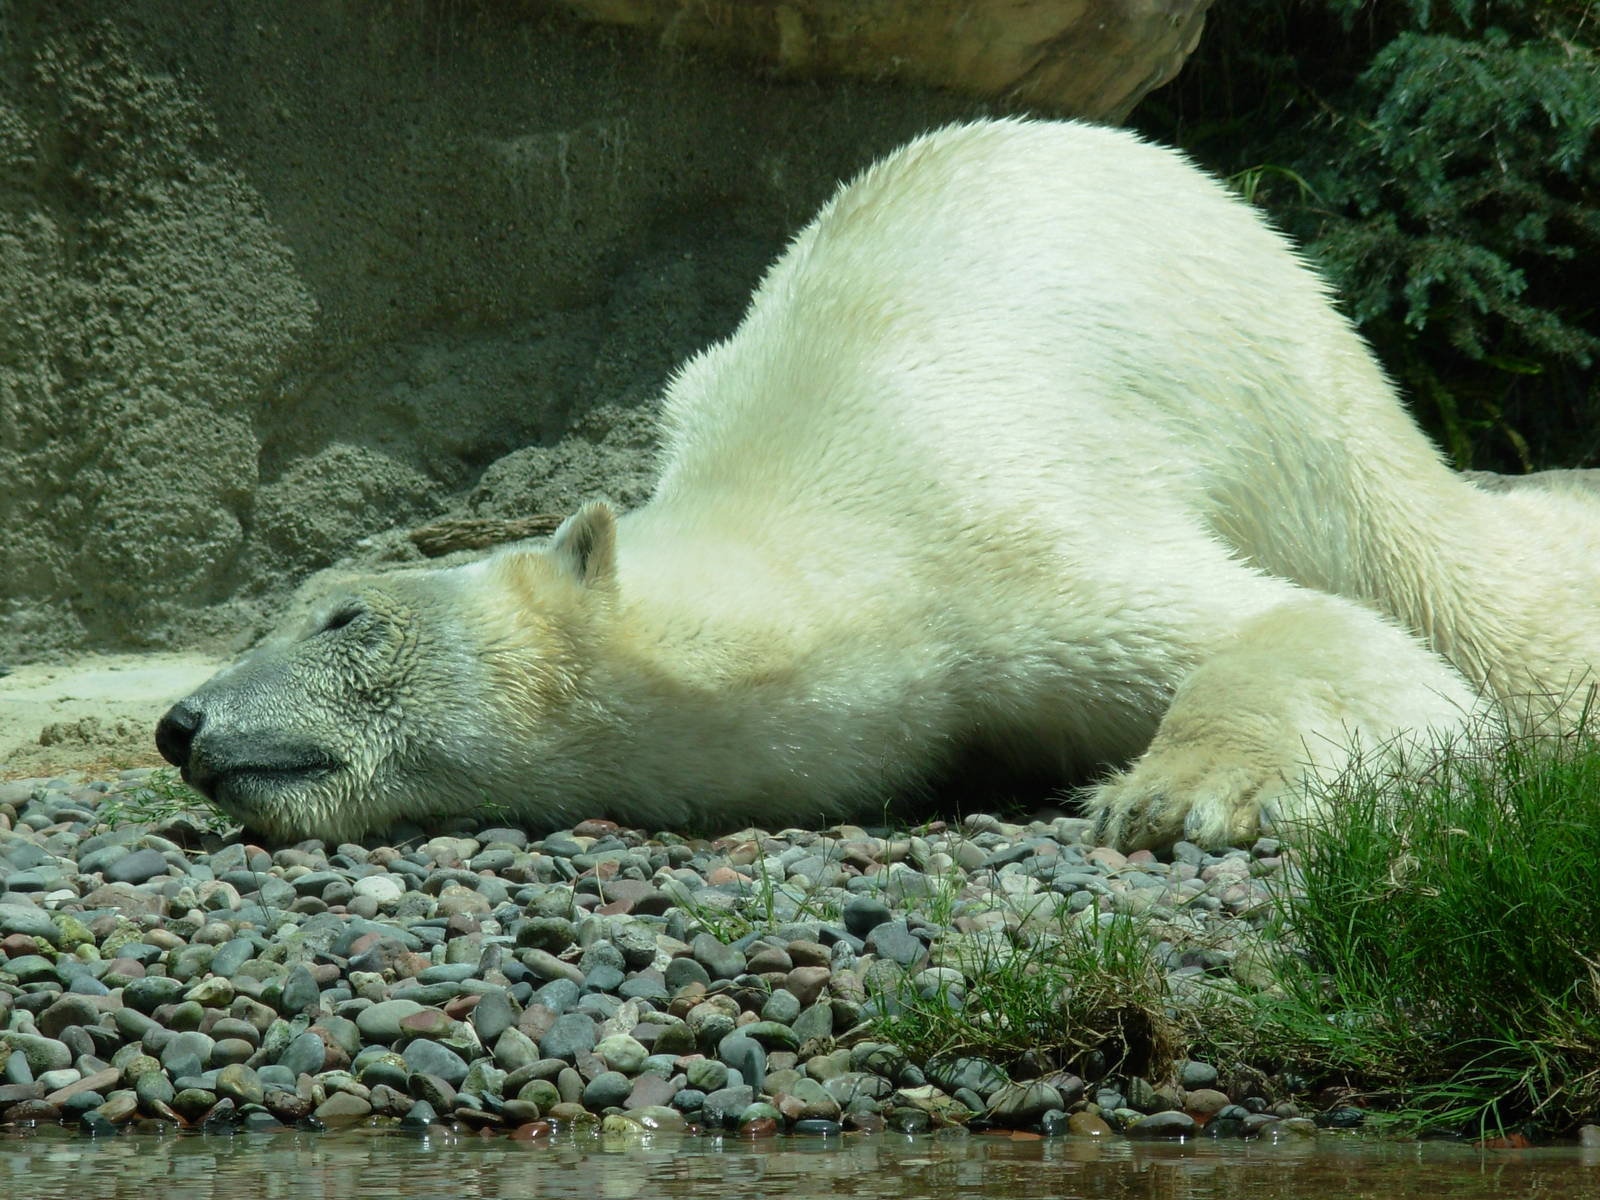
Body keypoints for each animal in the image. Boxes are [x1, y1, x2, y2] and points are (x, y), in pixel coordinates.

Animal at [155, 118, 1600, 850]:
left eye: (347, 617)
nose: (180, 722)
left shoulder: (1006, 534)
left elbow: (1312, 631)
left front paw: (1181, 792)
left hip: (1284, 389)